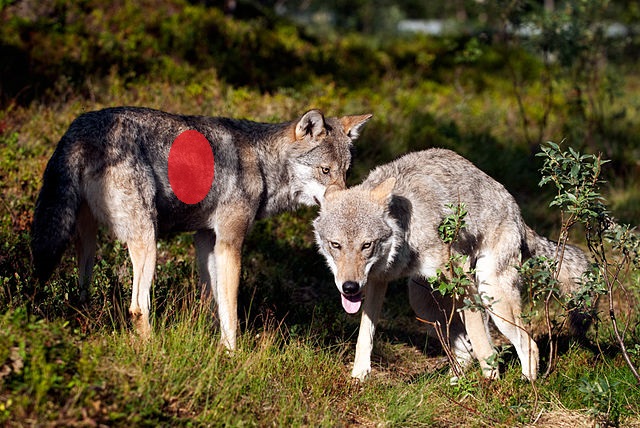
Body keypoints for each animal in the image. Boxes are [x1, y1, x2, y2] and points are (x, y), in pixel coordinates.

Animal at [32, 105, 372, 350]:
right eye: (325, 170)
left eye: (346, 172)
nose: (346, 205)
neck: (262, 164)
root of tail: (78, 130)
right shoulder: (229, 242)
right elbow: (231, 309)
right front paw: (232, 353)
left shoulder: (206, 240)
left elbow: (214, 303)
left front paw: (211, 339)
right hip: (148, 240)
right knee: (138, 307)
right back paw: (154, 351)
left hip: (85, 243)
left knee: (80, 291)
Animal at [312, 148, 592, 382]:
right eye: (336, 245)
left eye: (366, 245)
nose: (349, 287)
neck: (406, 230)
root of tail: (517, 212)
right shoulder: (377, 282)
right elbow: (364, 336)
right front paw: (358, 378)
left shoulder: (462, 278)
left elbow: (481, 341)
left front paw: (491, 385)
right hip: (422, 301)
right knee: (465, 352)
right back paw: (455, 382)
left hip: (490, 294)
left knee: (527, 343)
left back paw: (526, 386)